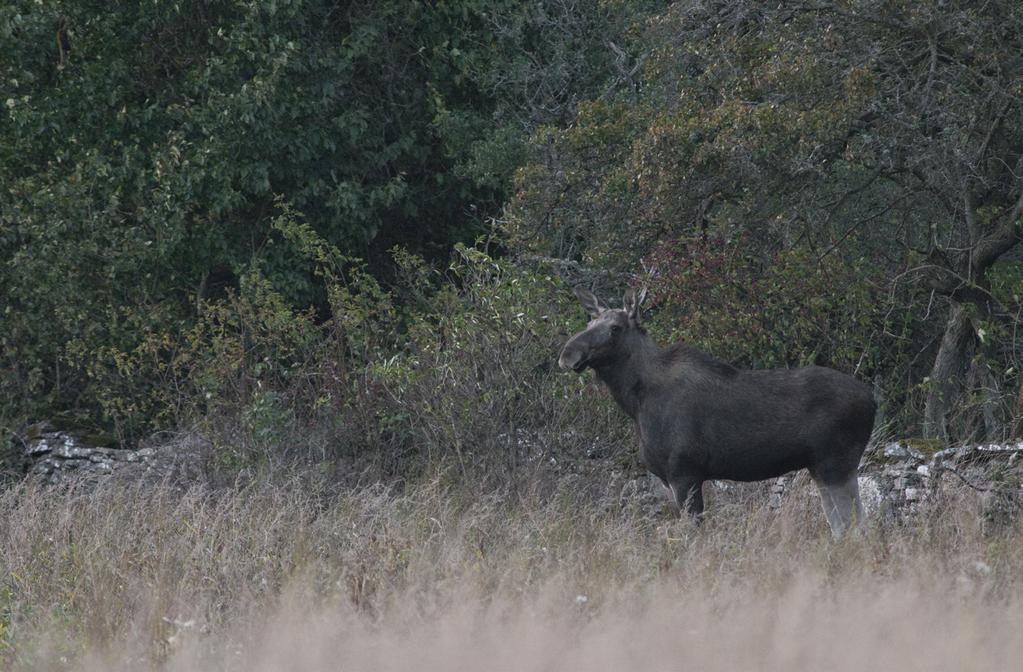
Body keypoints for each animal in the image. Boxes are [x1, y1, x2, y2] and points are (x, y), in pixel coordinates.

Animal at [560, 286, 879, 535]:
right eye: (589, 322)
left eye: (614, 328)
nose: (568, 354)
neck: (636, 402)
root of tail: (873, 400)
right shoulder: (666, 478)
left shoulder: (685, 472)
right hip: (819, 467)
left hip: (837, 463)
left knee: (857, 527)